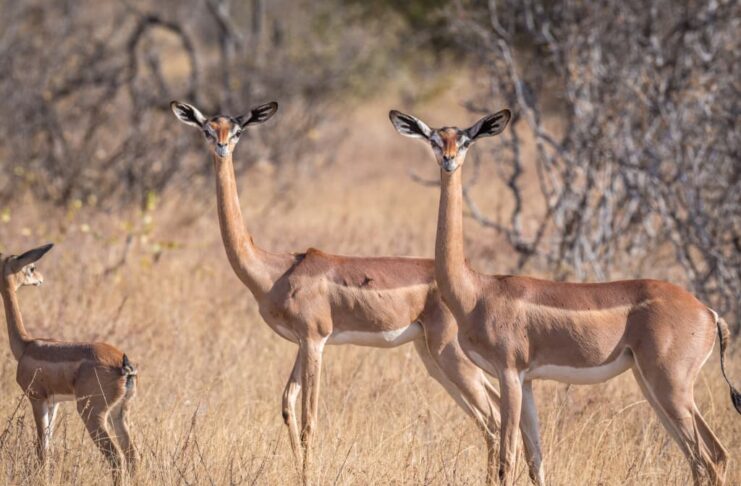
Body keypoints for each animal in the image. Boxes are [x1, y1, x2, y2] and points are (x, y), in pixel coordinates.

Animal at [1, 244, 137, 484]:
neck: (26, 345)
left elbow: (42, 448)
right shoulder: (54, 402)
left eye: (32, 266)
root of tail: (124, 365)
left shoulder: (37, 399)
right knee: (133, 455)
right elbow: (48, 446)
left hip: (92, 414)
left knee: (116, 457)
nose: (40, 280)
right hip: (119, 412)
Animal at [170, 100, 547, 484]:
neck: (274, 270)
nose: (221, 147)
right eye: (207, 128)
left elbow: (309, 420)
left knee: (493, 419)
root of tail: (476, 284)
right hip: (433, 356)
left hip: (450, 354)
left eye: (237, 131)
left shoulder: (315, 340)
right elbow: (287, 404)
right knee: (496, 415)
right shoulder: (301, 343)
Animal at [390, 109, 740, 486]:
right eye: (434, 139)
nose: (448, 160)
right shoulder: (527, 381)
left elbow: (507, 458)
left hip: (671, 386)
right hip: (650, 383)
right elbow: (536, 460)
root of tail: (709, 312)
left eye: (466, 139)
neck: (476, 292)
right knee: (699, 460)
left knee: (714, 456)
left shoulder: (509, 373)